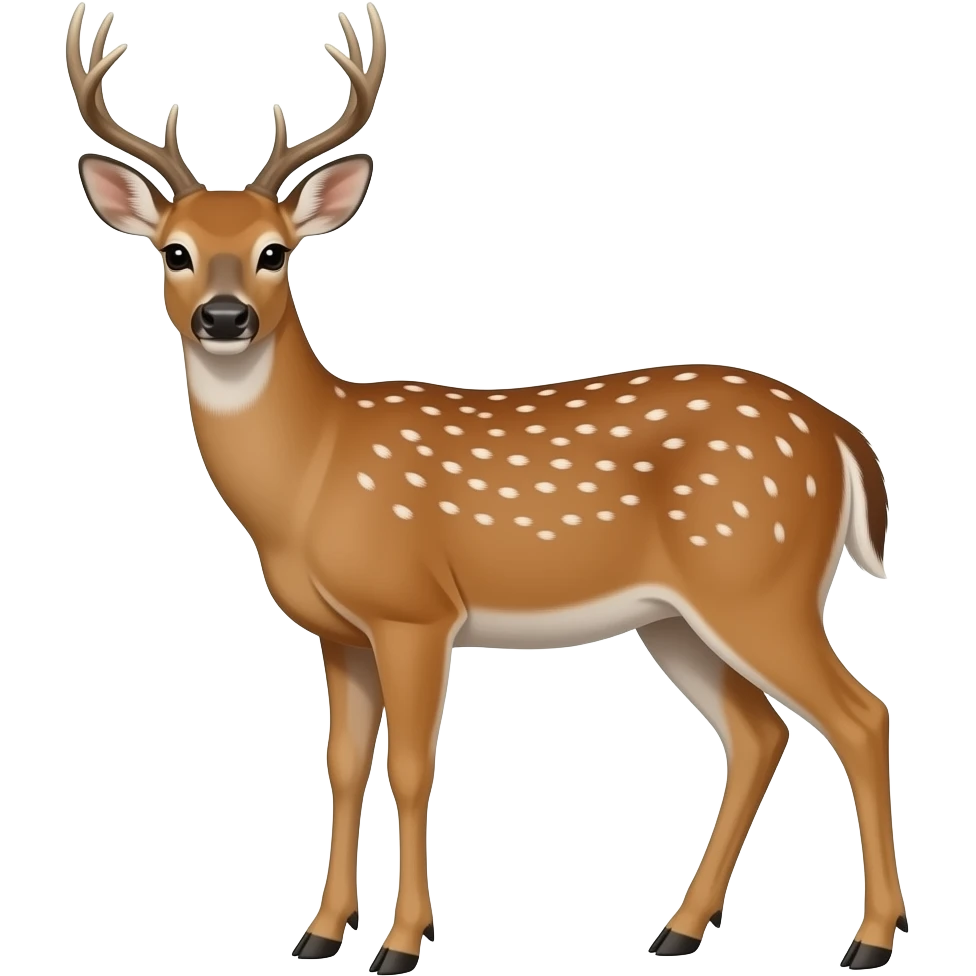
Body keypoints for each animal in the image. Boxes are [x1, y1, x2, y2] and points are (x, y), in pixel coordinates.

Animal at [67, 4, 908, 972]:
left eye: (276, 253)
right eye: (176, 253)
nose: (225, 317)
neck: (312, 473)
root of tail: (841, 435)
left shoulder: (415, 610)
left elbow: (412, 767)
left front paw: (401, 942)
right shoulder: (341, 632)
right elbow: (342, 764)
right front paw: (319, 933)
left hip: (759, 579)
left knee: (860, 716)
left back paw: (869, 940)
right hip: (679, 617)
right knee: (760, 733)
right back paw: (679, 930)